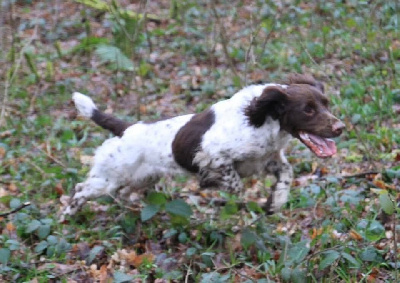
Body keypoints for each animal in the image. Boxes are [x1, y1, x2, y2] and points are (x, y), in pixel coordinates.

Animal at [61, 74, 346, 220]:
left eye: (326, 103)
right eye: (308, 110)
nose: (340, 127)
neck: (261, 118)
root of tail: (126, 128)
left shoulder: (269, 158)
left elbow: (286, 174)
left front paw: (274, 202)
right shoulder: (212, 153)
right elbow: (233, 182)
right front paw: (212, 184)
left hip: (141, 177)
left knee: (122, 192)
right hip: (108, 178)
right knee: (80, 189)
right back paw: (67, 214)